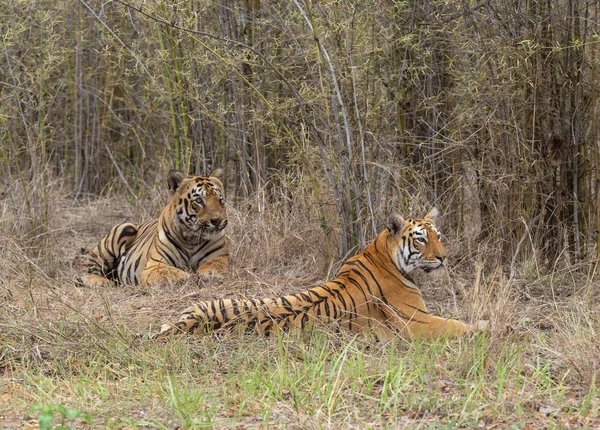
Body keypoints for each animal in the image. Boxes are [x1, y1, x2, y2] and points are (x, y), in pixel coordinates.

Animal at [78, 170, 229, 288]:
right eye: (199, 201)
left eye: (220, 200)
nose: (217, 221)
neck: (191, 238)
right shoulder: (154, 264)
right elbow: (169, 271)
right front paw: (185, 276)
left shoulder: (219, 257)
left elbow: (213, 265)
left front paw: (208, 273)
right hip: (123, 229)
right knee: (86, 273)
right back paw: (101, 282)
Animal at [143, 207, 476, 340]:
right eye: (421, 239)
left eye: (439, 235)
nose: (445, 257)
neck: (382, 252)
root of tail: (188, 322)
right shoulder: (416, 322)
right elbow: (460, 326)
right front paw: (487, 330)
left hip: (197, 306)